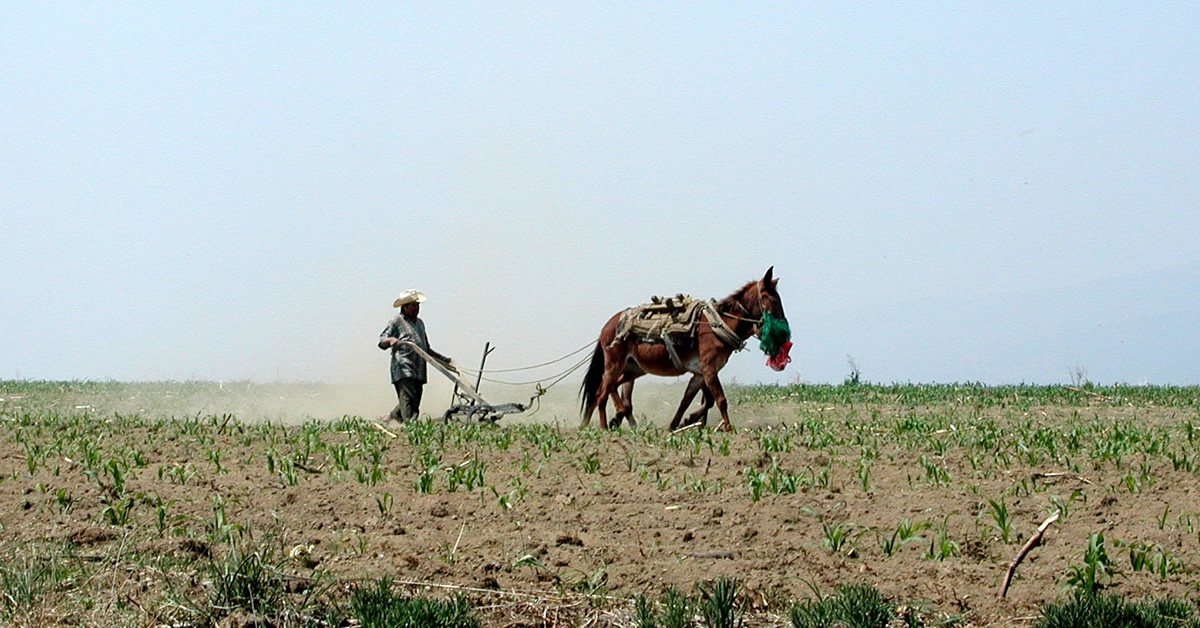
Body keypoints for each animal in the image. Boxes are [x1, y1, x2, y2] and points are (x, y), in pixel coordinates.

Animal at [578, 265, 787, 432]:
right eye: (774, 300)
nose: (785, 333)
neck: (718, 325)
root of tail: (607, 326)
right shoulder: (709, 370)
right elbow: (720, 400)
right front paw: (728, 429)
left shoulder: (700, 374)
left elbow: (689, 401)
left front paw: (679, 423)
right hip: (615, 363)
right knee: (601, 393)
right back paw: (604, 427)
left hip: (634, 368)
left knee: (608, 389)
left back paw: (603, 422)